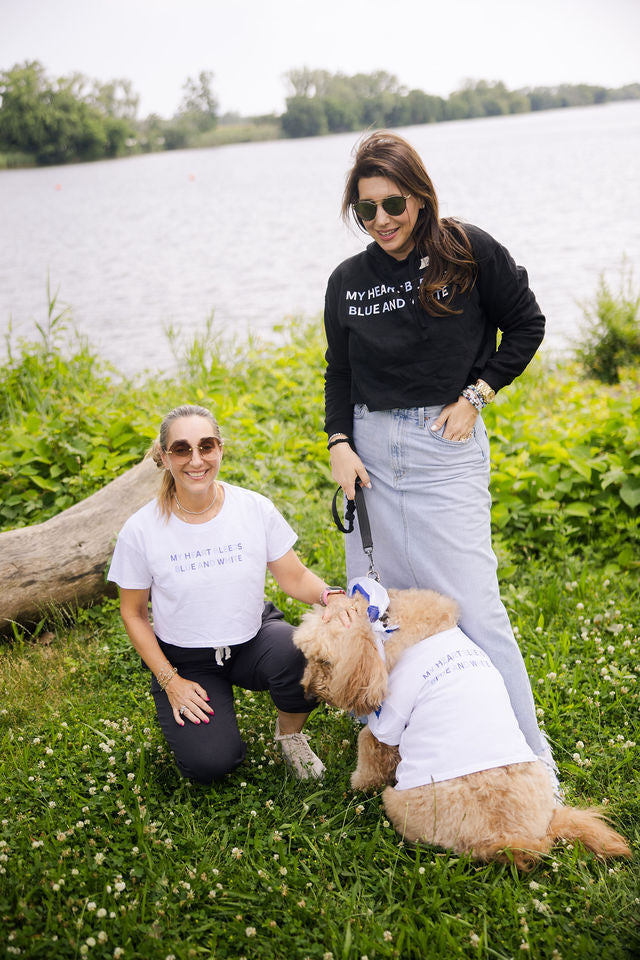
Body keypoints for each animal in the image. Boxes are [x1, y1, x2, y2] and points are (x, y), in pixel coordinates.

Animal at [296, 584, 632, 872]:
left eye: (324, 661)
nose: (306, 691)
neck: (390, 625)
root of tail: (509, 839)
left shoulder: (391, 717)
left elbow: (368, 746)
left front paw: (357, 785)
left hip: (399, 803)